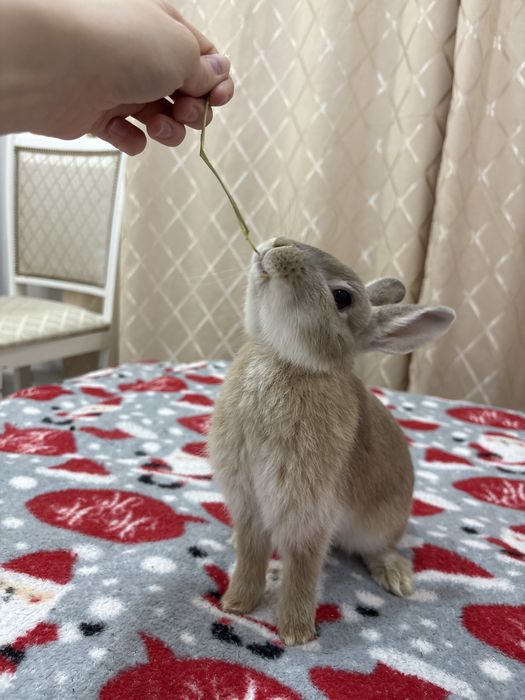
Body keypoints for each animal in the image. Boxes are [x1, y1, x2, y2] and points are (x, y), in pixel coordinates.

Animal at [208, 237, 455, 646]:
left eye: (341, 297)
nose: (279, 242)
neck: (286, 359)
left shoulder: (306, 506)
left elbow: (304, 567)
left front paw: (295, 633)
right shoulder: (248, 499)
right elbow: (251, 552)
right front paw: (236, 604)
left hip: (378, 526)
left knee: (376, 549)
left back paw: (397, 577)